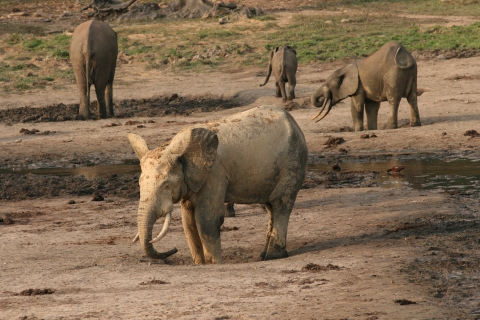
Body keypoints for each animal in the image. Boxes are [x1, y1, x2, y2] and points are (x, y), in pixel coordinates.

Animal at [127, 106, 308, 264]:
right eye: (139, 184)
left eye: (166, 185)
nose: (174, 249)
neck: (174, 149)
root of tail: (294, 123)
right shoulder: (192, 181)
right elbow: (188, 222)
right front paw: (200, 264)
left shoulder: (214, 175)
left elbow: (206, 220)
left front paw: (215, 263)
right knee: (270, 207)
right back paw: (264, 255)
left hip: (292, 163)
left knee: (280, 204)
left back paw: (273, 256)